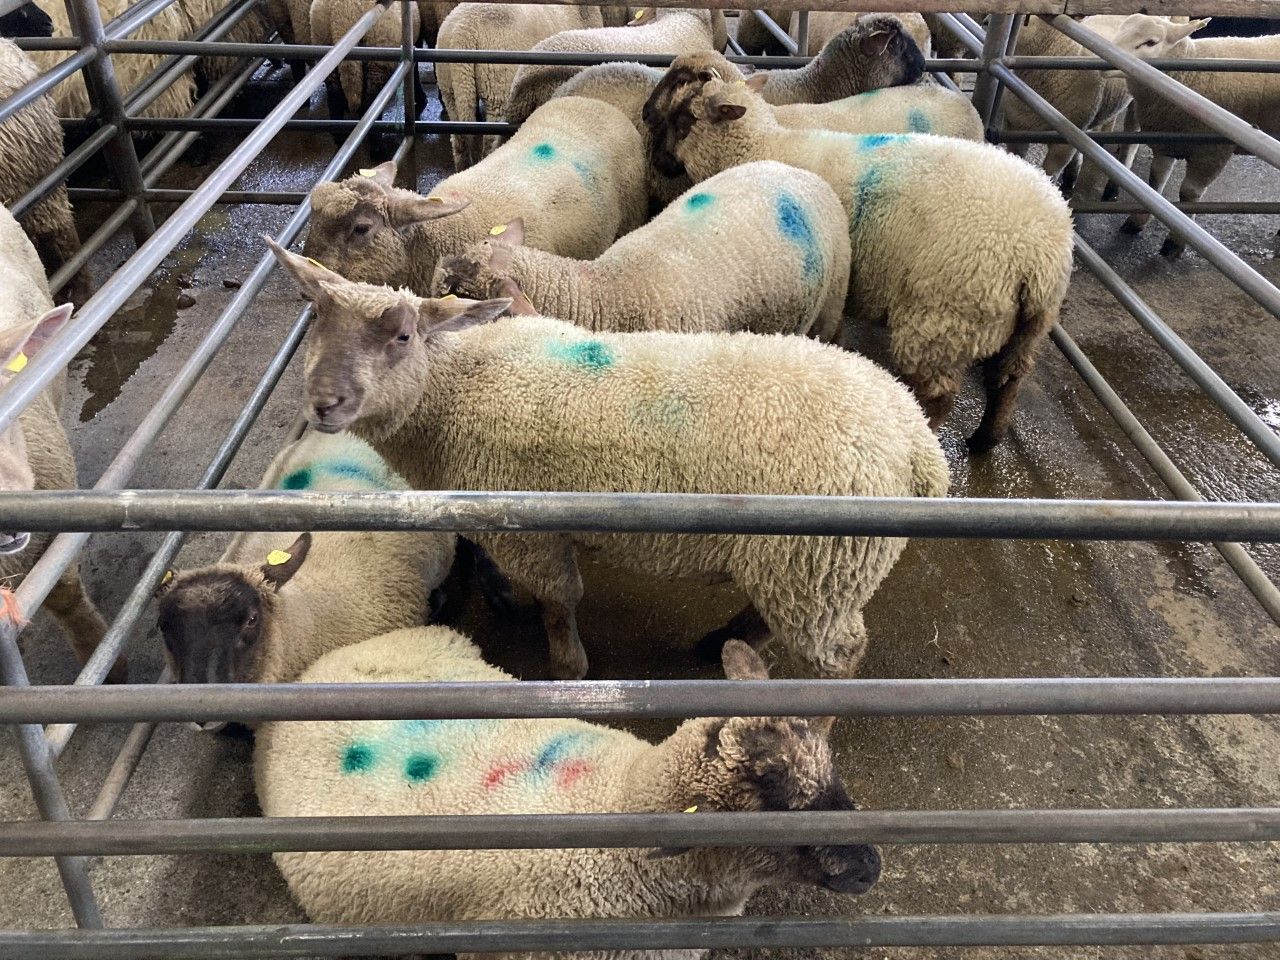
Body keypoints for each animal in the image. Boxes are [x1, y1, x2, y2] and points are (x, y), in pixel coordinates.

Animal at [267, 241, 951, 681]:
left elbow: (559, 601)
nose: (324, 402)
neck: (456, 389)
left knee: (840, 652)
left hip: (822, 564)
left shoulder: (532, 535)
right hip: (799, 564)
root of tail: (917, 439)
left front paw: (568, 665)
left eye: (403, 336)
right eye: (316, 318)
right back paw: (719, 643)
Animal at [653, 77, 1073, 451]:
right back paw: (985, 440)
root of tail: (1042, 255)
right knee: (1007, 383)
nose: (658, 163)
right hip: (1026, 330)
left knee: (938, 397)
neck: (762, 145)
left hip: (943, 320)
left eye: (684, 119)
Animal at [1107, 15, 1280, 257]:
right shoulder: (1166, 141)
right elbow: (1155, 181)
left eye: (1150, 42)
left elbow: (1188, 194)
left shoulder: (1212, 151)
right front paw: (1136, 221)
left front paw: (1175, 243)